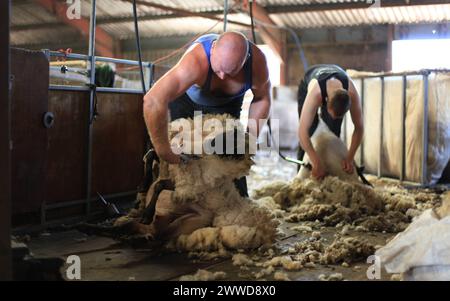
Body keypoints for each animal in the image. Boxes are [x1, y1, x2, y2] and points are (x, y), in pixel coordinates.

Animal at [113, 114, 278, 251]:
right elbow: (151, 156)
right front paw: (143, 185)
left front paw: (147, 214)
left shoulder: (187, 187)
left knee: (159, 234)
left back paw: (136, 235)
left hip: (189, 221)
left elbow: (160, 185)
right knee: (153, 230)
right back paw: (125, 230)